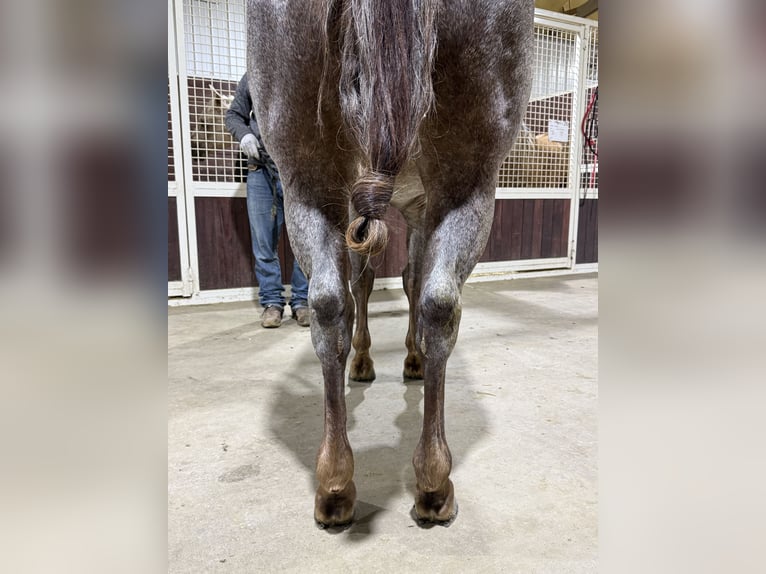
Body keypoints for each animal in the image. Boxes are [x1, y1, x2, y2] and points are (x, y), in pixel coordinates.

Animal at [246, 0, 533, 527]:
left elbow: (393, 285)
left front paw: (389, 360)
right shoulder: (410, 209)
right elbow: (404, 282)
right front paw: (390, 360)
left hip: (310, 181)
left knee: (335, 304)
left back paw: (340, 485)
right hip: (465, 184)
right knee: (426, 301)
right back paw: (428, 484)